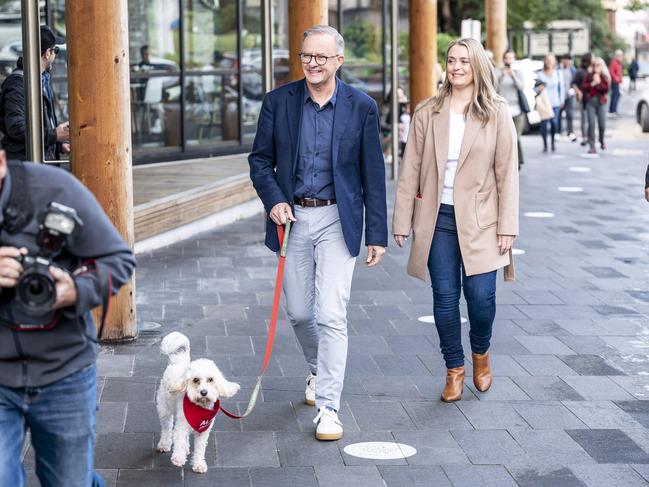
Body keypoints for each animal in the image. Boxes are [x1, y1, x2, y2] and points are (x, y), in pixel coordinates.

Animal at [155, 332, 240, 472]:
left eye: (211, 379)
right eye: (195, 380)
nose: (204, 392)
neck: (200, 407)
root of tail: (178, 362)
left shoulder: (203, 430)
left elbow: (200, 449)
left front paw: (199, 464)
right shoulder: (182, 425)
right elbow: (179, 439)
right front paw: (178, 458)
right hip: (164, 409)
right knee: (166, 428)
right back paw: (164, 444)